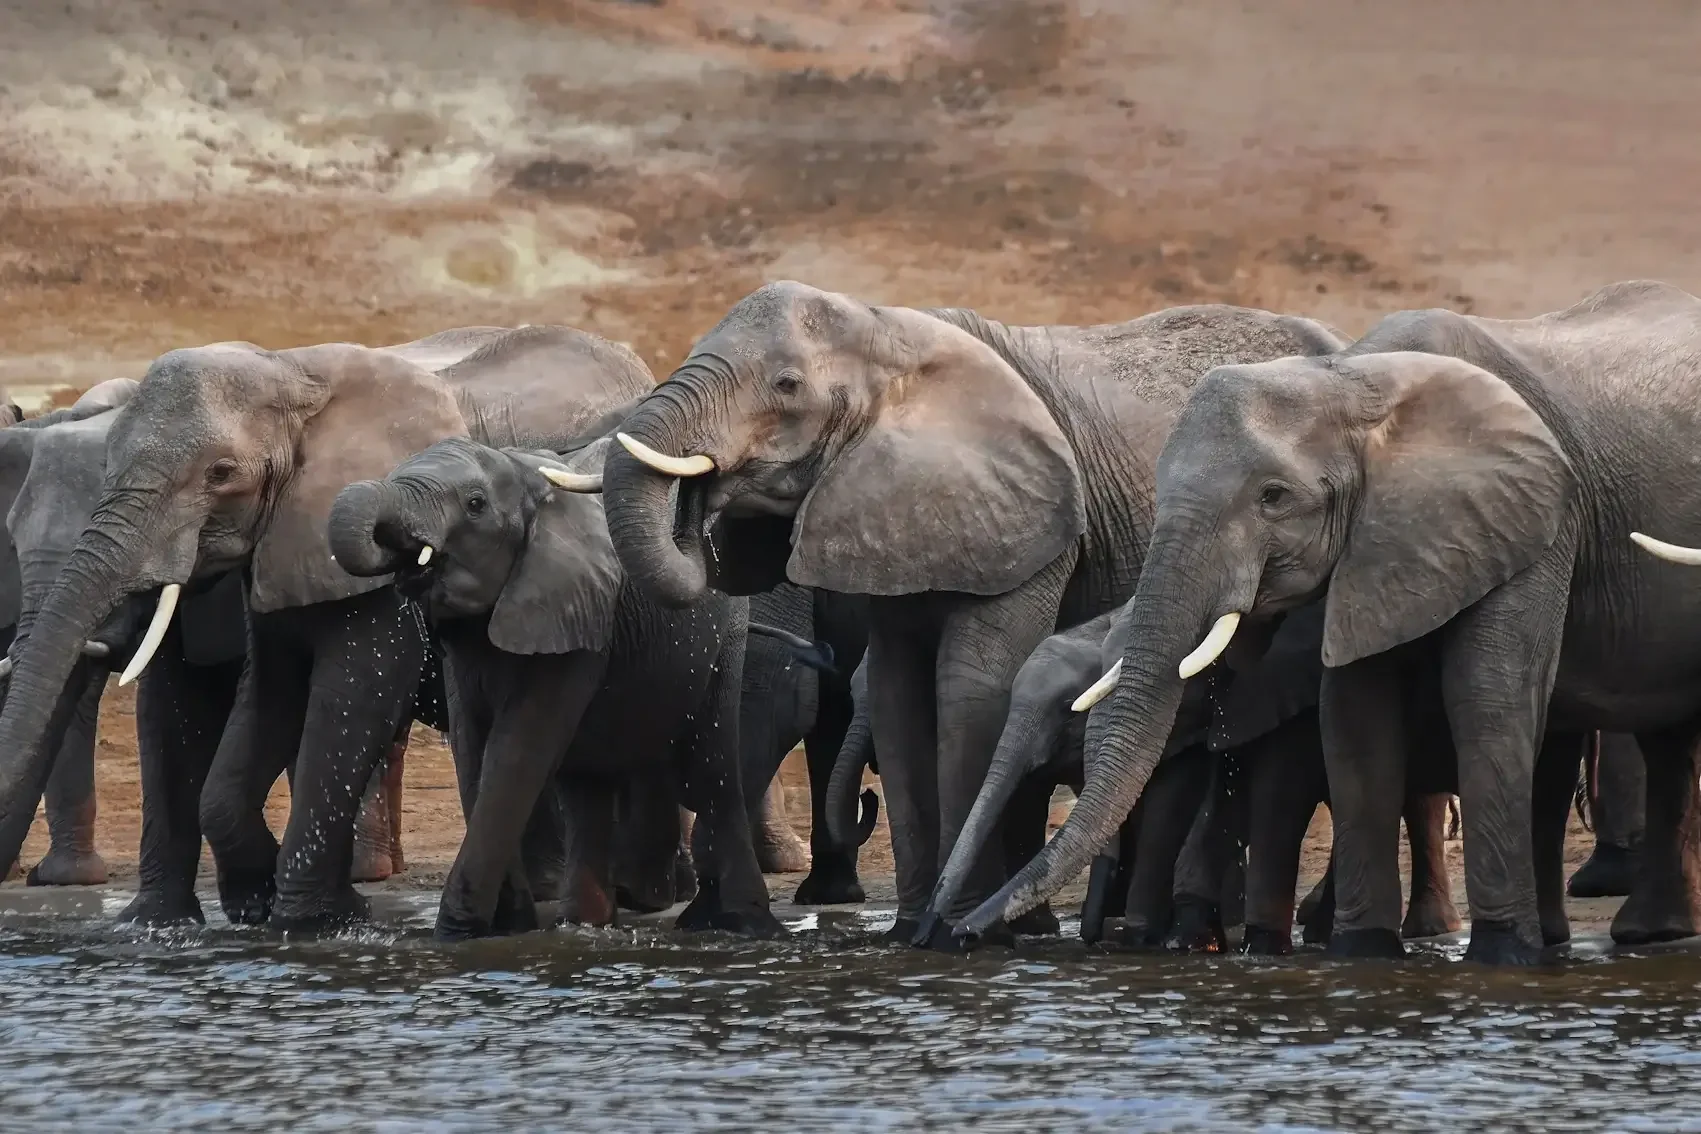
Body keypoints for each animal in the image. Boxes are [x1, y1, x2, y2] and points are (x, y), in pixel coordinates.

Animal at [0, 324, 653, 931]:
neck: (289, 374)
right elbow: (224, 702)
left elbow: (355, 688)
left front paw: (310, 919)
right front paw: (192, 917)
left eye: (220, 473)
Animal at [326, 436, 777, 939]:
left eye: (475, 505)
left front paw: (461, 934)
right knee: (588, 786)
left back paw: (737, 924)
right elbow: (473, 747)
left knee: (710, 770)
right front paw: (507, 925)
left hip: (726, 637)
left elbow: (517, 749)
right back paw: (585, 924)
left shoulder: (577, 614)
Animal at [597, 280, 1347, 945]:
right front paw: (909, 932)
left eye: (786, 385)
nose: (702, 493)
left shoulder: (1033, 522)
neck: (887, 330)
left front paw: (952, 932)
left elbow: (968, 692)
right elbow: (898, 701)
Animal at [965, 279, 1701, 965]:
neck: (1355, 382)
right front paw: (1362, 955)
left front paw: (1498, 960)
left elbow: (1487, 697)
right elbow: (1354, 717)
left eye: (1273, 497)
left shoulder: (1534, 514)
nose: (967, 931)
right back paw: (1635, 933)